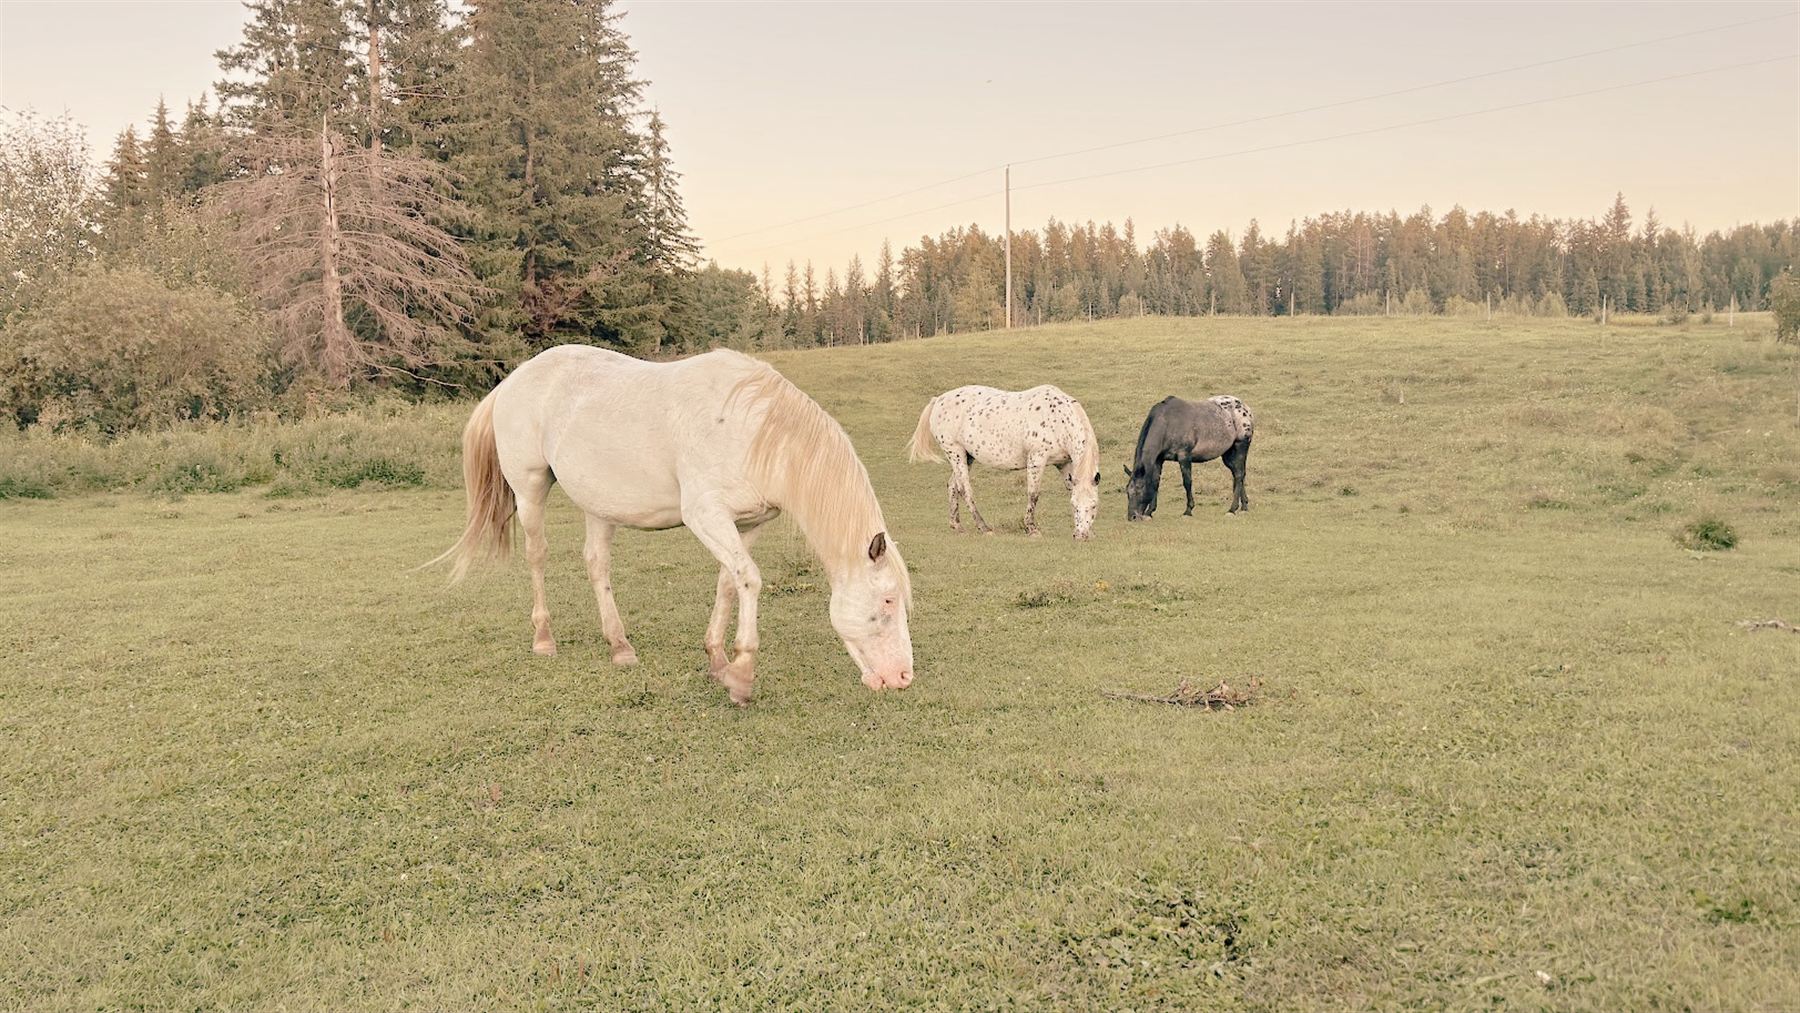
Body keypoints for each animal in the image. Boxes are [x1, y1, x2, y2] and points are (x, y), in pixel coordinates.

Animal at [433, 345, 913, 705]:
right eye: (888, 601)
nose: (904, 677)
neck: (755, 432)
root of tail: (511, 381)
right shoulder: (705, 515)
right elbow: (751, 580)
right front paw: (742, 673)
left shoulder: (747, 523)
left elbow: (731, 582)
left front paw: (718, 660)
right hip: (530, 490)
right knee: (537, 556)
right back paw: (544, 638)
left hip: (598, 503)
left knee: (596, 564)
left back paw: (620, 646)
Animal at [907, 384, 1101, 540]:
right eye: (1074, 507)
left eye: (1093, 506)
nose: (1081, 536)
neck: (1058, 419)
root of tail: (938, 400)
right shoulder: (1036, 459)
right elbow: (1033, 494)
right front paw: (1031, 529)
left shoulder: (1064, 464)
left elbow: (1070, 489)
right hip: (955, 453)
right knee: (964, 489)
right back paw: (984, 527)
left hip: (966, 456)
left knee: (953, 486)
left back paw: (957, 526)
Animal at [1124, 395, 1254, 520]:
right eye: (1128, 491)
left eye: (1139, 488)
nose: (1132, 517)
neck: (1168, 422)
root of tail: (1246, 410)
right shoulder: (1158, 460)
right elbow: (1156, 482)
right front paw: (1150, 512)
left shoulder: (1184, 457)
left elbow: (1187, 482)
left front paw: (1188, 511)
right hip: (1228, 456)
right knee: (1238, 475)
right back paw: (1244, 506)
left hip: (1240, 447)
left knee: (1239, 475)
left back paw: (1232, 509)